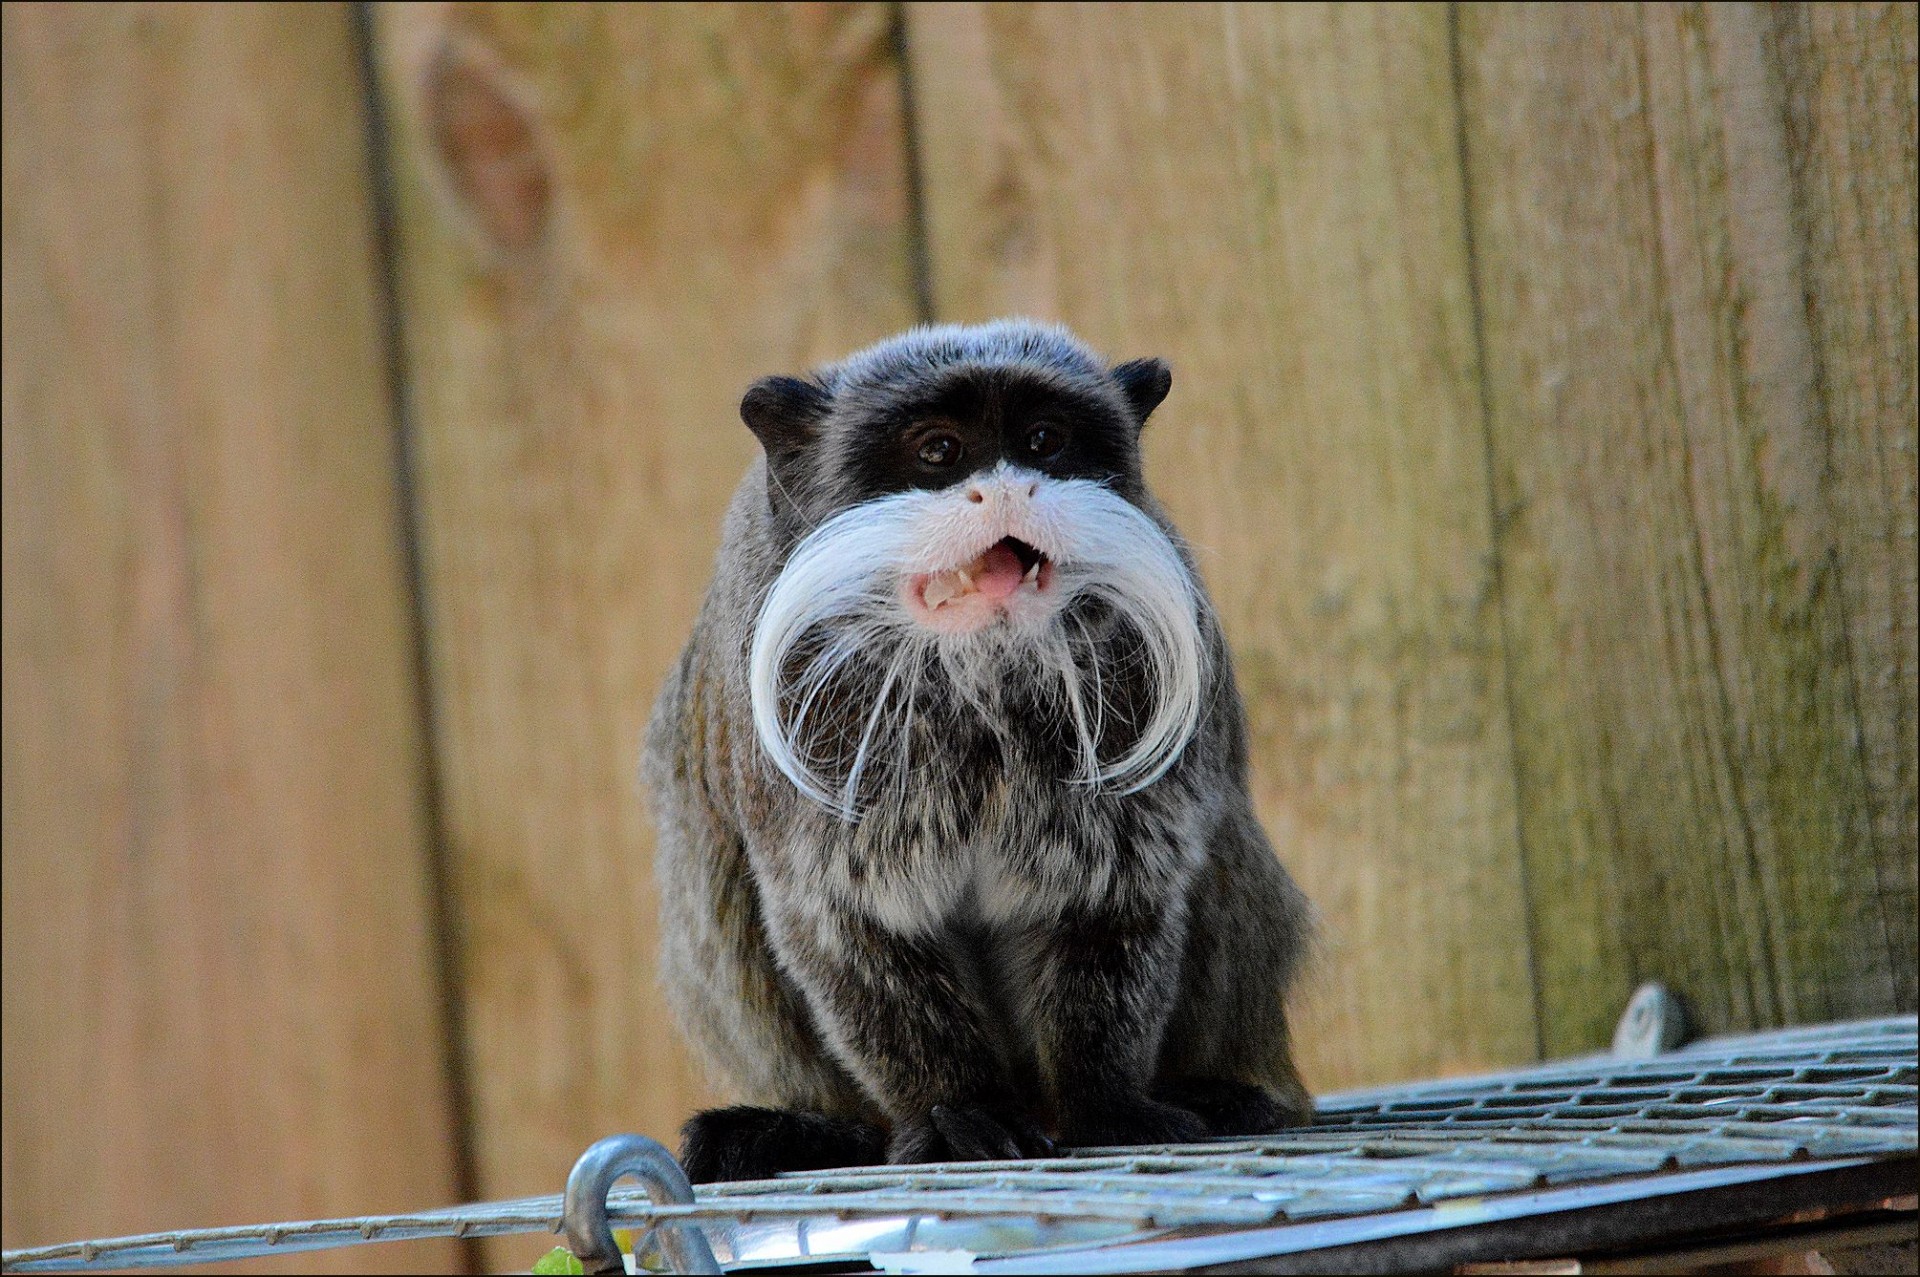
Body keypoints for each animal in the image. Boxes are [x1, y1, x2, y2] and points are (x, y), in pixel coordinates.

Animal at [637, 320, 1313, 1182]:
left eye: (1043, 441)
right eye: (939, 451)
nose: (1010, 489)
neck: (976, 674)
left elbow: (1114, 905)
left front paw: (1106, 1104)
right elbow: (849, 931)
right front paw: (953, 1112)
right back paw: (816, 1129)